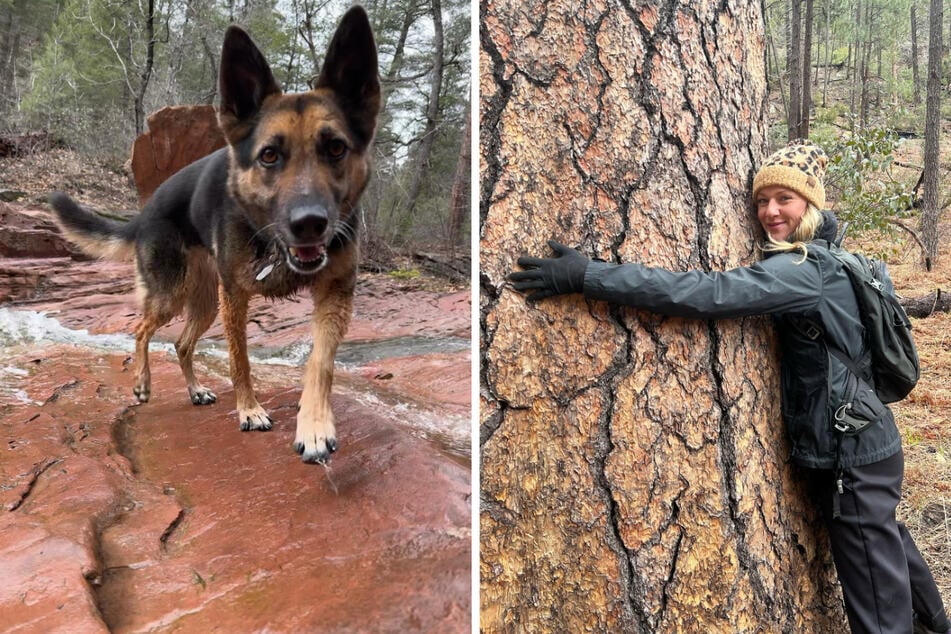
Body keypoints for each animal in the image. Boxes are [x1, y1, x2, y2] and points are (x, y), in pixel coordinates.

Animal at [48, 6, 382, 464]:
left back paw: (194, 391)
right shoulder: (236, 299)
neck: (272, 242)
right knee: (142, 329)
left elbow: (321, 362)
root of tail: (146, 209)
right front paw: (249, 410)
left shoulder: (335, 295)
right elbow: (240, 361)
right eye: (269, 155)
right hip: (174, 295)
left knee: (182, 344)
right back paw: (142, 383)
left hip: (205, 303)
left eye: (335, 148)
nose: (309, 223)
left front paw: (314, 425)